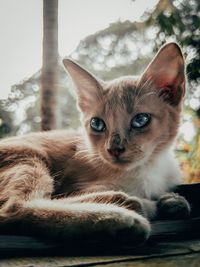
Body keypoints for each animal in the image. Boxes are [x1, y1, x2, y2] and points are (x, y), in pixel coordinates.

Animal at [0, 43, 191, 246]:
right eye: (97, 124)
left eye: (140, 120)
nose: (114, 149)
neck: (149, 168)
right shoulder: (78, 186)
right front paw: (153, 203)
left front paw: (172, 200)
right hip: (28, 156)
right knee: (15, 208)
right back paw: (122, 215)